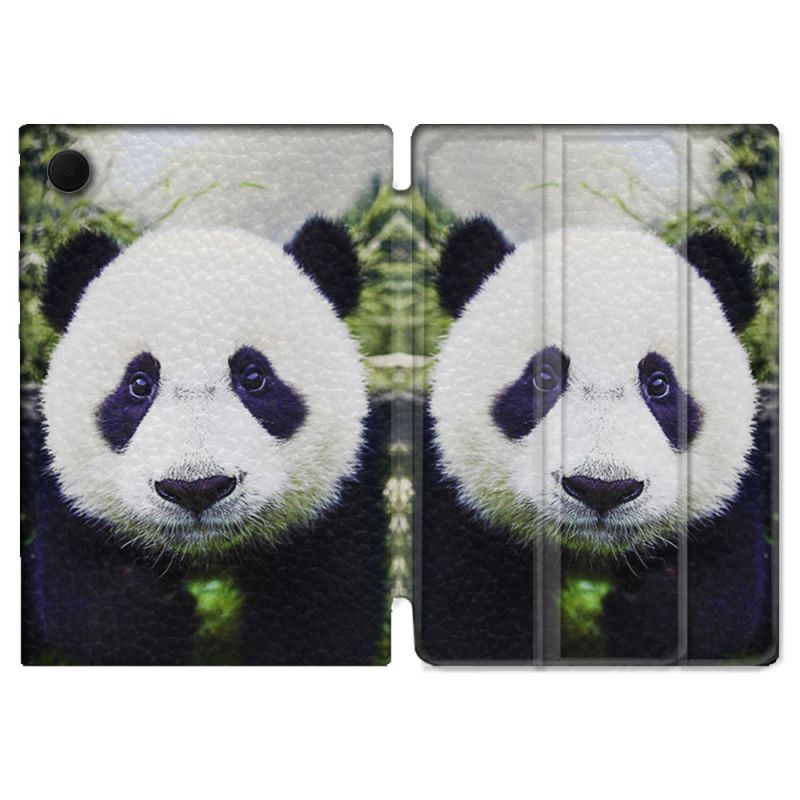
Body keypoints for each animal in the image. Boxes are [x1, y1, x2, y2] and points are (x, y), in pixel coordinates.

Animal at [23, 218, 389, 665]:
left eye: (254, 377)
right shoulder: (70, 498)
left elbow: (321, 617)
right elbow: (85, 603)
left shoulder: (335, 499)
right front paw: (159, 615)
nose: (195, 489)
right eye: (139, 384)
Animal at [416, 217, 776, 665]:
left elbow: (720, 603)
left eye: (659, 383)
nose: (602, 489)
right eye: (544, 377)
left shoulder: (724, 502)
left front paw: (643, 614)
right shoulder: (465, 504)